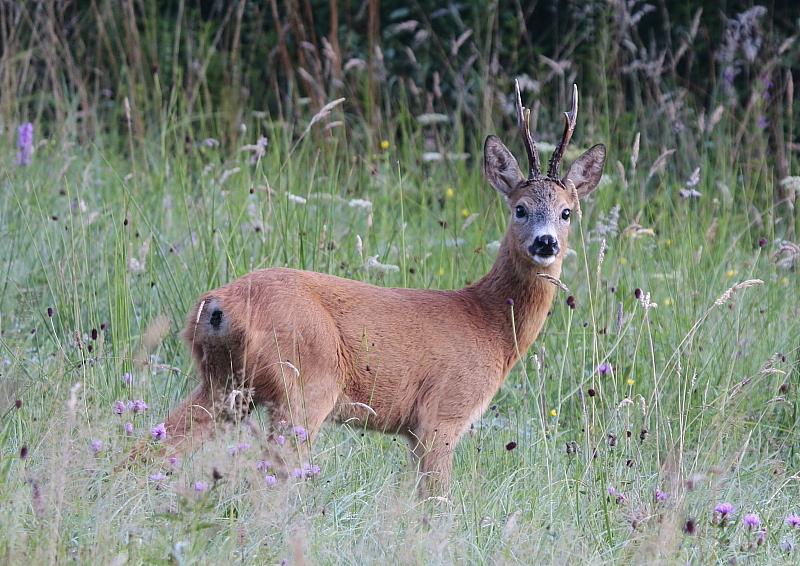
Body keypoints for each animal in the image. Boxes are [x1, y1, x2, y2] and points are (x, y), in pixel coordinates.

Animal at [133, 82, 608, 494]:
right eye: (520, 208)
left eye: (567, 212)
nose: (545, 243)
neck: (488, 323)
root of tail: (215, 304)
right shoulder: (442, 414)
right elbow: (435, 503)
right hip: (303, 385)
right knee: (269, 476)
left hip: (223, 384)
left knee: (149, 445)